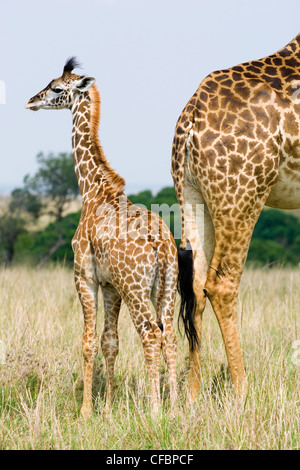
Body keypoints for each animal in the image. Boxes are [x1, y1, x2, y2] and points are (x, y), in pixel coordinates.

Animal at [26, 58, 178, 418]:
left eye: (56, 87)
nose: (31, 101)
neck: (93, 190)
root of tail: (162, 247)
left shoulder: (84, 276)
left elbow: (88, 341)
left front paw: (85, 410)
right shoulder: (110, 286)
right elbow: (110, 343)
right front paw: (107, 408)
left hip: (137, 289)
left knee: (151, 334)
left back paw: (155, 409)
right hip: (167, 287)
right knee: (170, 336)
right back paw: (180, 406)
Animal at [172, 32, 300, 400]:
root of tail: (191, 118)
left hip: (192, 195)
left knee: (195, 286)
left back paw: (192, 394)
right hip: (242, 195)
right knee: (222, 284)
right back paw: (242, 390)